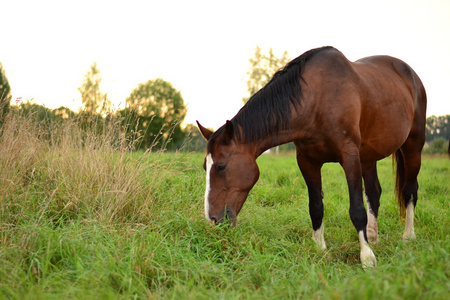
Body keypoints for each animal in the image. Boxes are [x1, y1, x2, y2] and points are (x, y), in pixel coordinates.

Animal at [196, 46, 426, 268]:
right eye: (205, 167)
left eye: (222, 166)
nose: (212, 219)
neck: (317, 99)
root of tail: (410, 74)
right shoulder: (308, 161)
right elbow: (315, 207)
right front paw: (319, 249)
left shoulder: (349, 157)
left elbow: (357, 209)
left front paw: (367, 258)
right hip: (368, 156)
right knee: (374, 193)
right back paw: (373, 237)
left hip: (412, 146)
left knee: (409, 191)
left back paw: (408, 237)